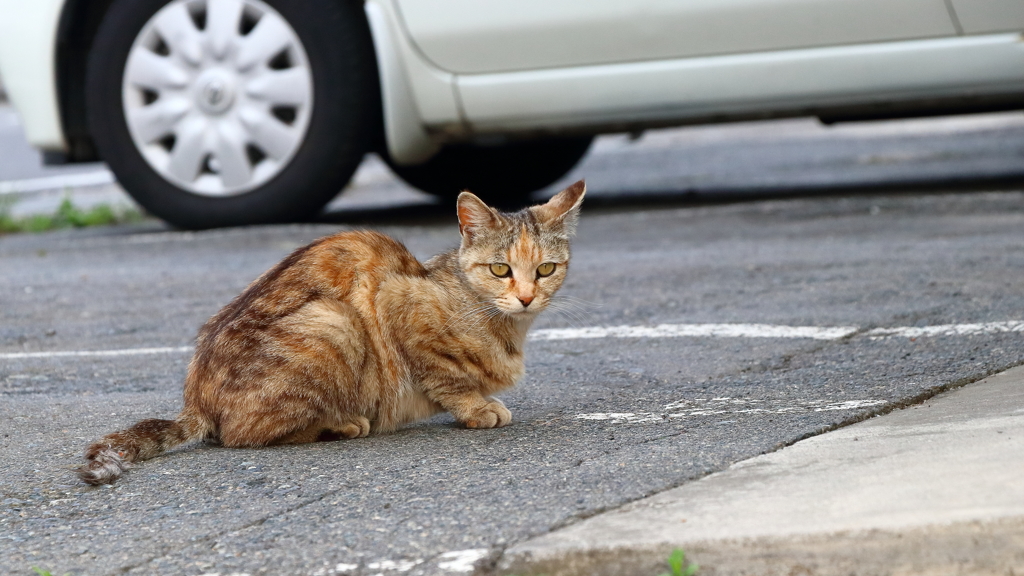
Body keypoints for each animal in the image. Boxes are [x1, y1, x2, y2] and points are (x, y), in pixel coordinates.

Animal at [76, 180, 589, 483]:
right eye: (501, 269)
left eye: (545, 269)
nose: (526, 297)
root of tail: (196, 399)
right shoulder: (396, 303)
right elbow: (446, 378)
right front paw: (477, 407)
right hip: (335, 323)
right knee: (245, 434)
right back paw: (339, 424)